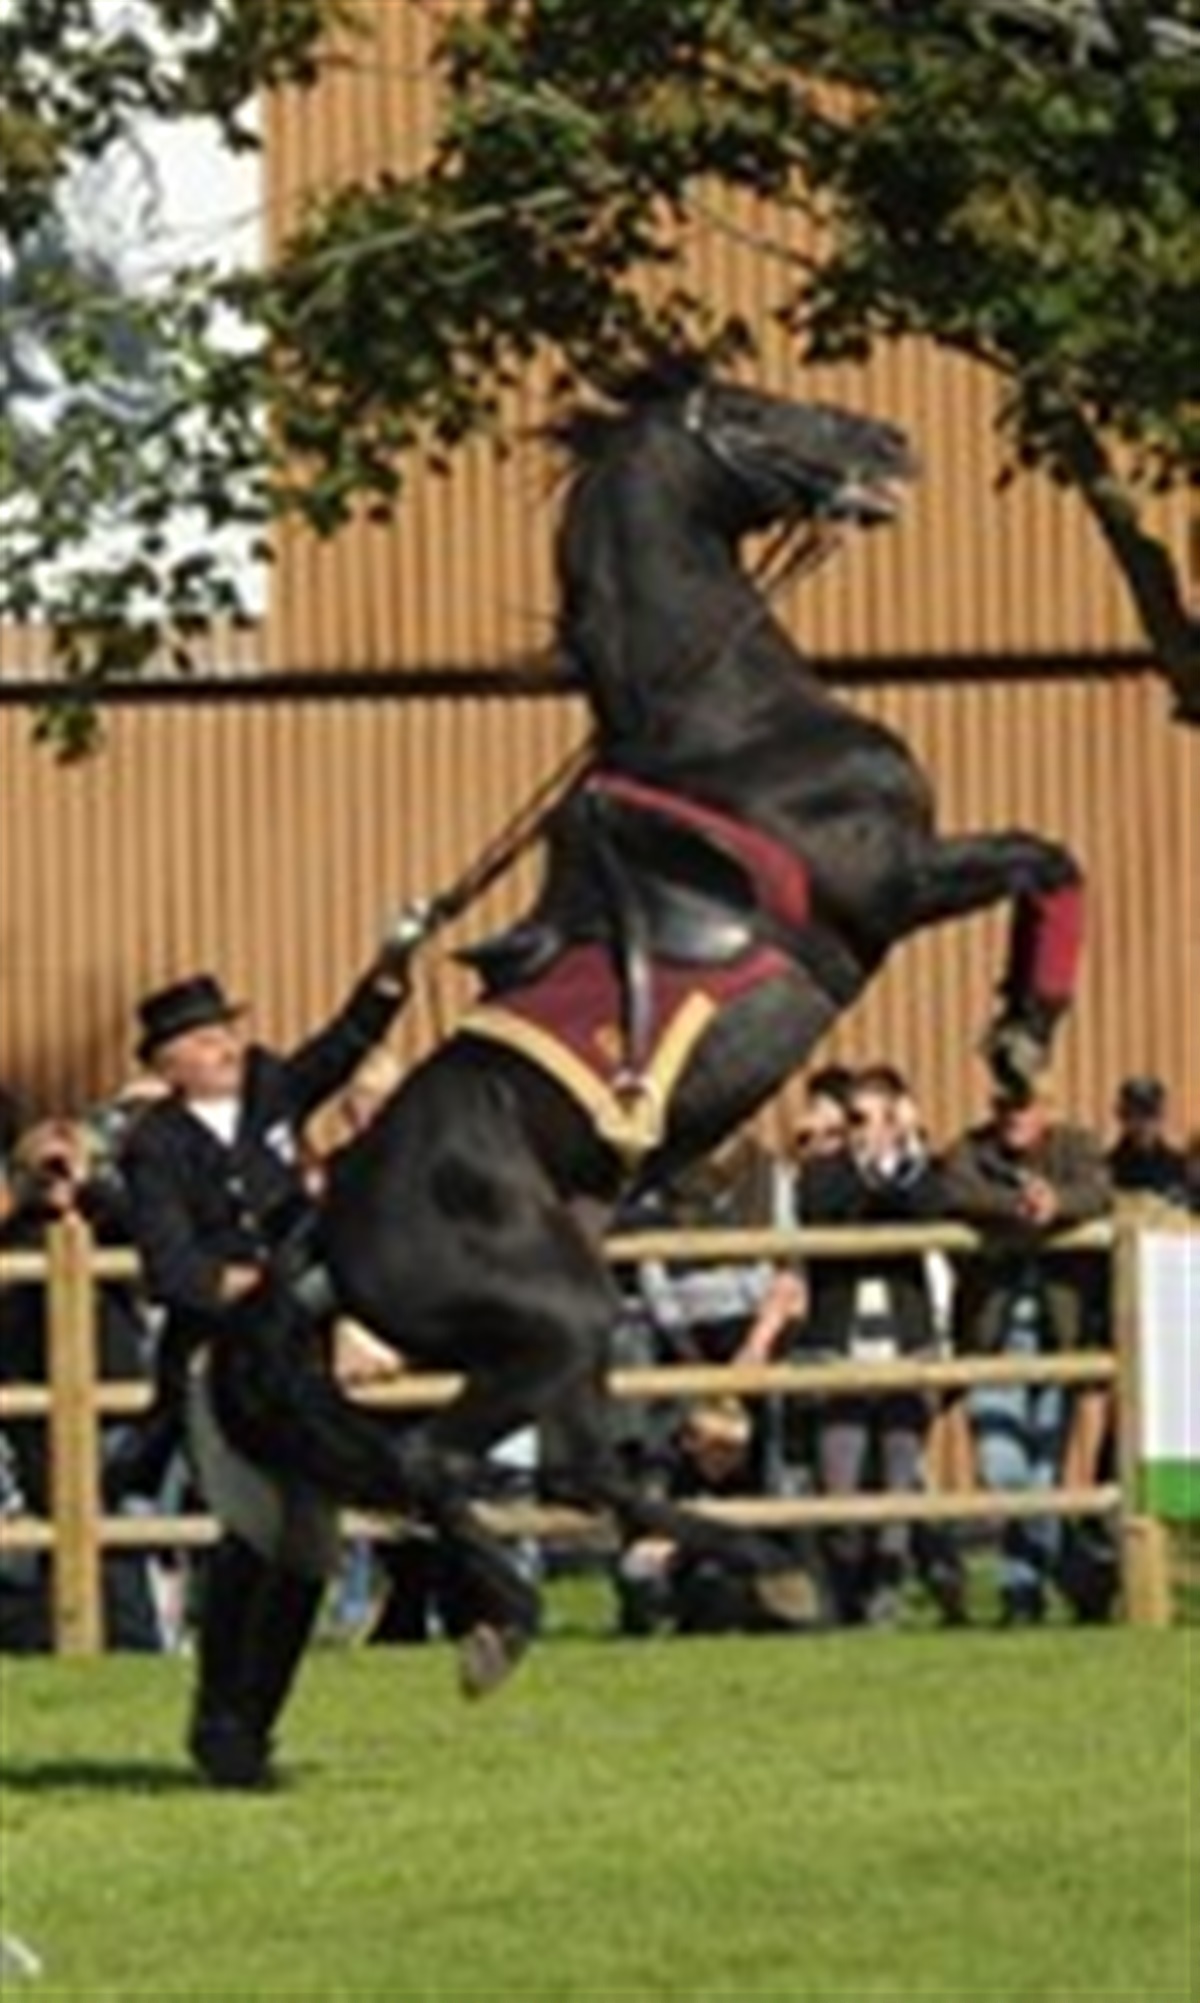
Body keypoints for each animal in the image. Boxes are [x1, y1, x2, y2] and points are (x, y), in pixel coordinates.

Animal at [210, 365, 1084, 1692]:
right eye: (754, 411)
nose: (887, 440)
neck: (732, 726)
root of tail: (318, 1234)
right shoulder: (897, 887)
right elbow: (1047, 856)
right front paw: (1025, 1032)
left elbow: (1048, 859)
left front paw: (1017, 1052)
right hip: (555, 1319)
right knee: (441, 1461)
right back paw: (525, 1609)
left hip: (564, 1329)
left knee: (572, 1464)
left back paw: (739, 1562)